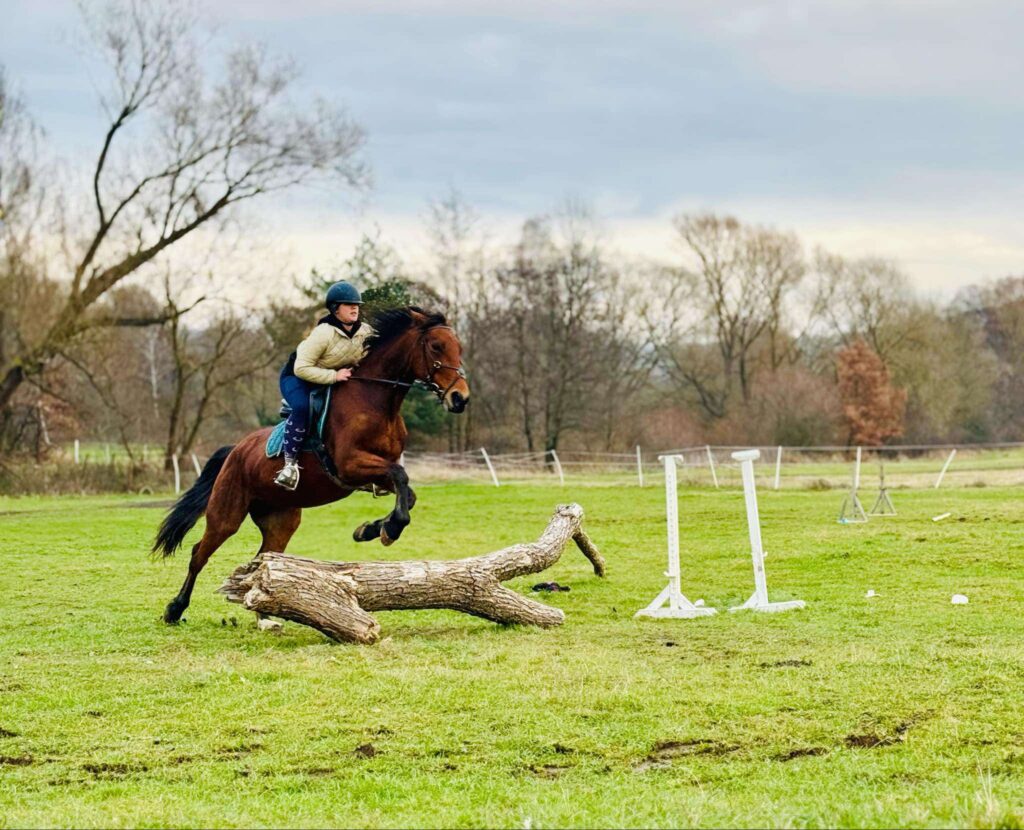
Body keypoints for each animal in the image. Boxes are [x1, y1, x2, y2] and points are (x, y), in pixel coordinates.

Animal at [154, 304, 471, 622]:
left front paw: (371, 529)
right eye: (436, 346)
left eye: (459, 348)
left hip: (281, 519)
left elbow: (407, 492)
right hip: (226, 513)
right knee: (199, 554)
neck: (377, 402)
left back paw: (266, 614)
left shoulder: (377, 473)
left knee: (263, 558)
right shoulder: (351, 465)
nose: (460, 399)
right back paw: (175, 608)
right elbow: (401, 476)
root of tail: (236, 450)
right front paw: (389, 530)